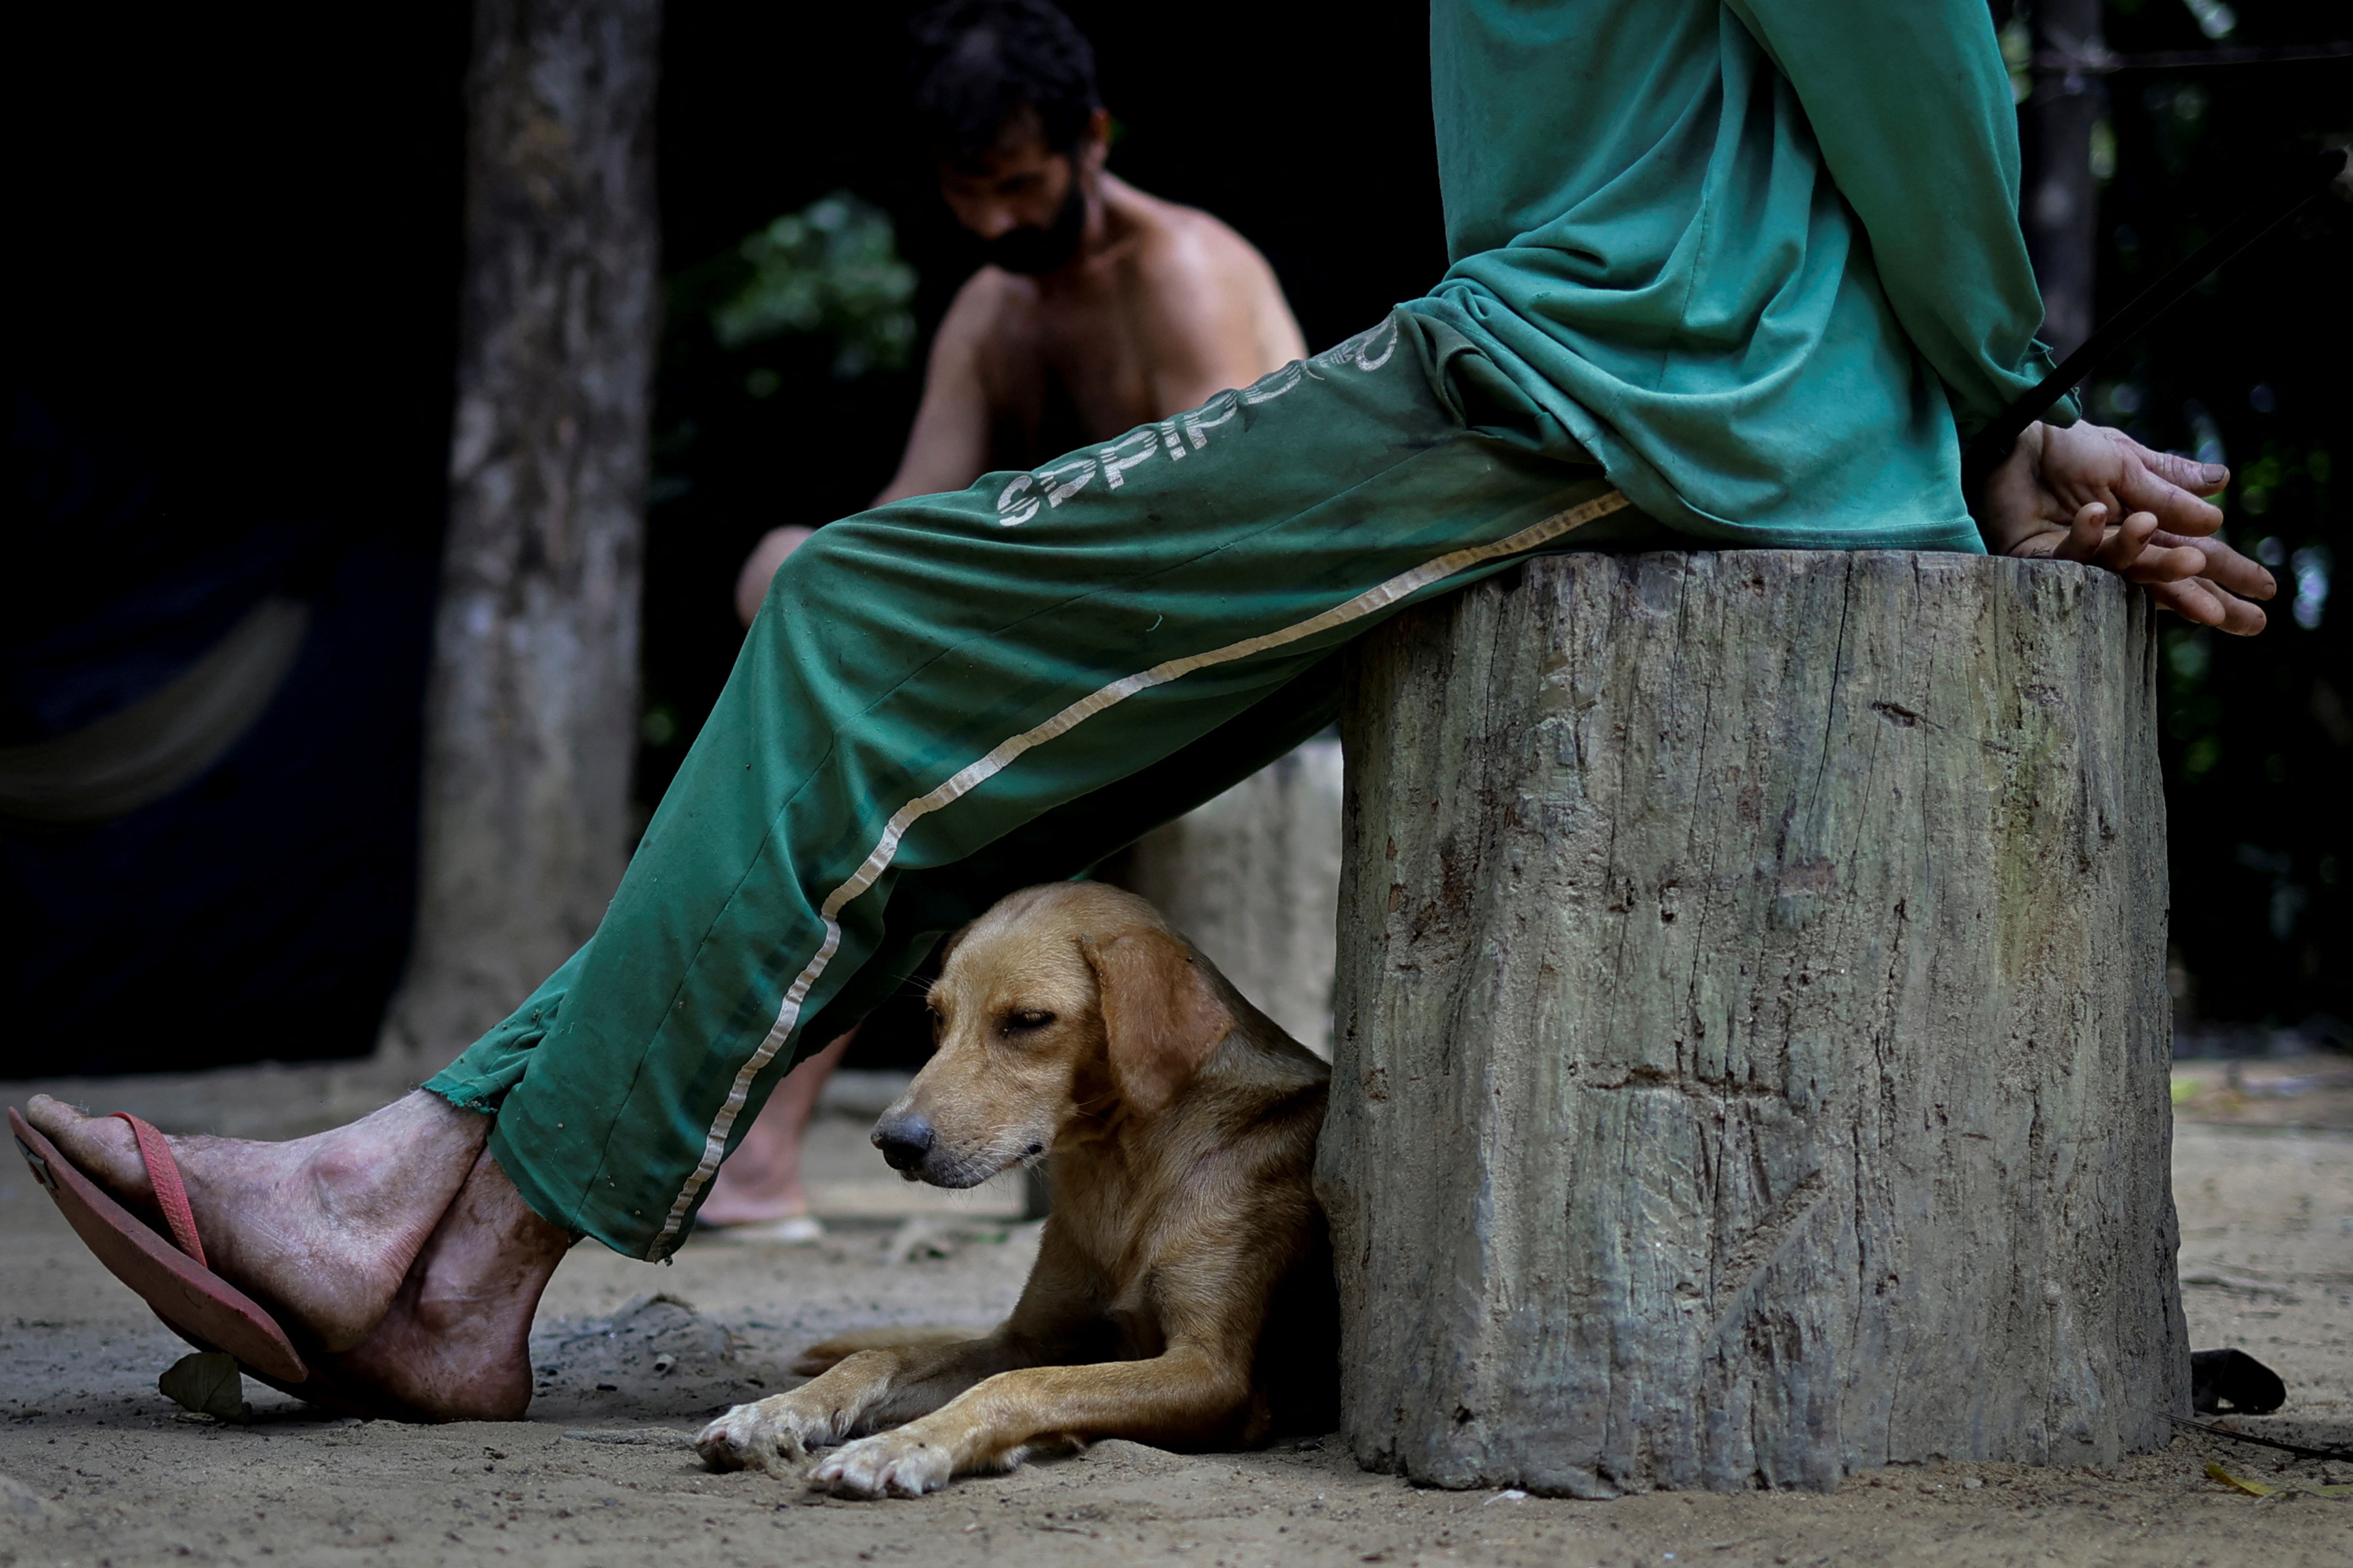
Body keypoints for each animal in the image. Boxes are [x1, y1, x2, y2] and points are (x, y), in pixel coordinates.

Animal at [686, 879, 1336, 1504]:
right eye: (938, 1016)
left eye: (1027, 1020)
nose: (892, 1141)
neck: (1121, 1173)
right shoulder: (1027, 1338)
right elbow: (881, 1355)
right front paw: (776, 1411)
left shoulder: (1214, 1373)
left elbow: (1026, 1384)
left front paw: (905, 1446)